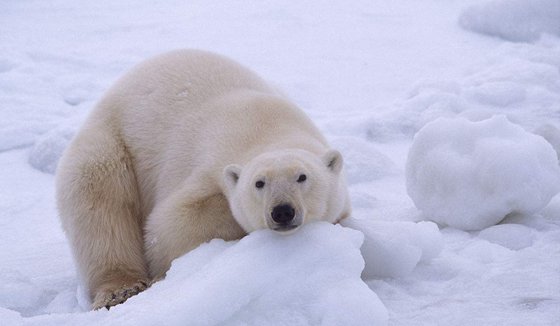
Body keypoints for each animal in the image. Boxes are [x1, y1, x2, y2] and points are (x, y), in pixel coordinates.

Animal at [53, 49, 350, 310]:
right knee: (100, 207)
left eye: (302, 177)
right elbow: (173, 225)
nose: (283, 211)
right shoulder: (204, 162)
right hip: (110, 145)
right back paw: (120, 290)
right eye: (259, 183)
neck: (268, 126)